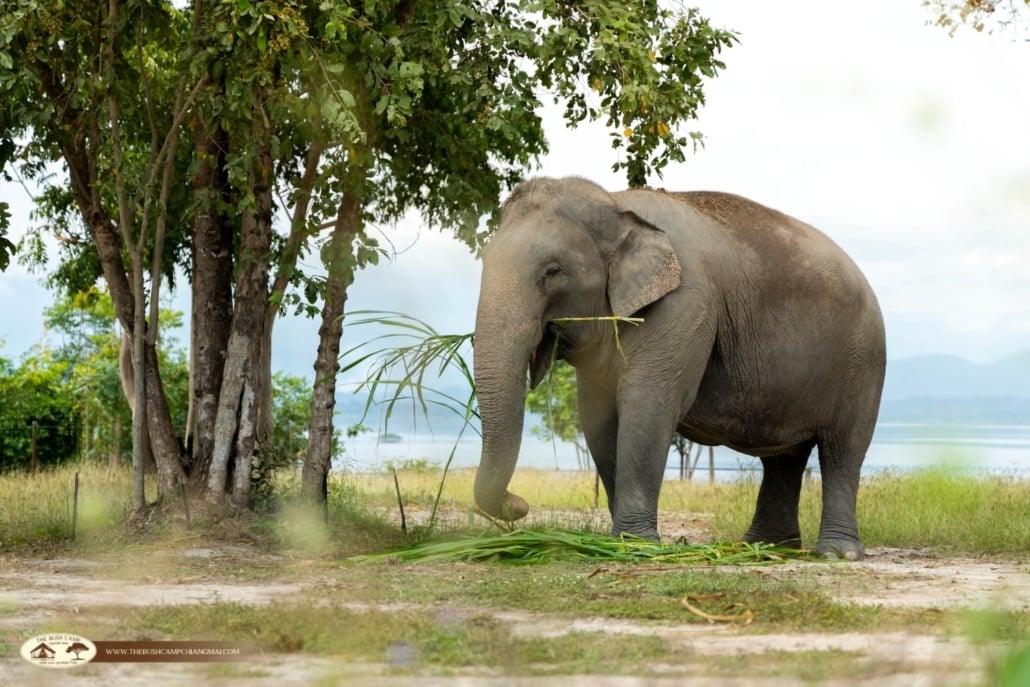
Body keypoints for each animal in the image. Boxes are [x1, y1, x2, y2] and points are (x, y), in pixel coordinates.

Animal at [472, 176, 886, 560]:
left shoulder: (684, 304)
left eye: (553, 270)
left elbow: (647, 406)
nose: (519, 504)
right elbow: (596, 419)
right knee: (784, 458)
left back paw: (835, 553)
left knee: (843, 448)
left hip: (863, 361)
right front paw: (616, 543)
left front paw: (635, 545)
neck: (616, 203)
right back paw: (764, 547)